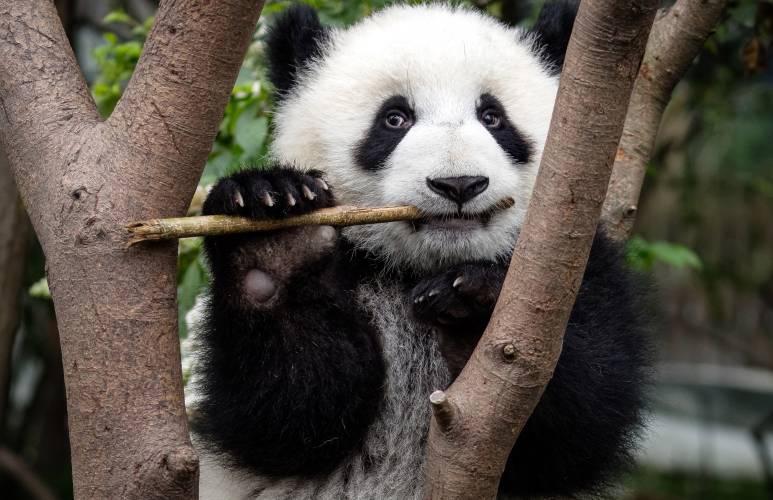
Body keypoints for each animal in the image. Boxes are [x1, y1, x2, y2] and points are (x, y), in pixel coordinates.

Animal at [190, 2, 651, 499]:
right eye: (395, 119)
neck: (418, 267)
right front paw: (275, 236)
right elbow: (290, 413)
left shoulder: (574, 266)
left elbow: (582, 416)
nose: (459, 184)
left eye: (493, 117)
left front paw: (473, 306)